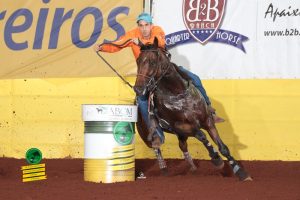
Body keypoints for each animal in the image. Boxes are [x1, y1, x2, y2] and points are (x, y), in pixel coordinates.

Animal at [135, 38, 252, 181]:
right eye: (138, 61)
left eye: (152, 61)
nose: (138, 89)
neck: (178, 93)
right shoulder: (180, 126)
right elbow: (201, 135)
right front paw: (217, 159)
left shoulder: (207, 120)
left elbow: (223, 147)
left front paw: (241, 172)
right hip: (147, 133)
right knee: (156, 148)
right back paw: (164, 168)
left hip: (182, 135)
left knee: (182, 146)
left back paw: (192, 167)